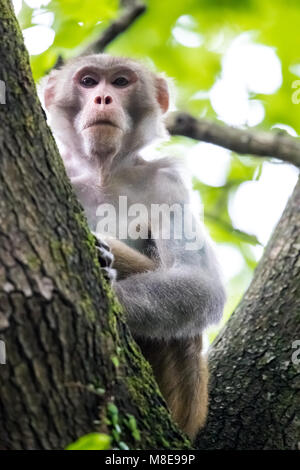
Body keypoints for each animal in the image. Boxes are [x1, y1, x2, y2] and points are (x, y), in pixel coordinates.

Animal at [42, 55, 225, 440]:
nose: (103, 98)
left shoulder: (168, 184)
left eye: (121, 82)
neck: (103, 173)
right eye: (88, 81)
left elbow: (201, 283)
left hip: (186, 408)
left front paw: (112, 292)